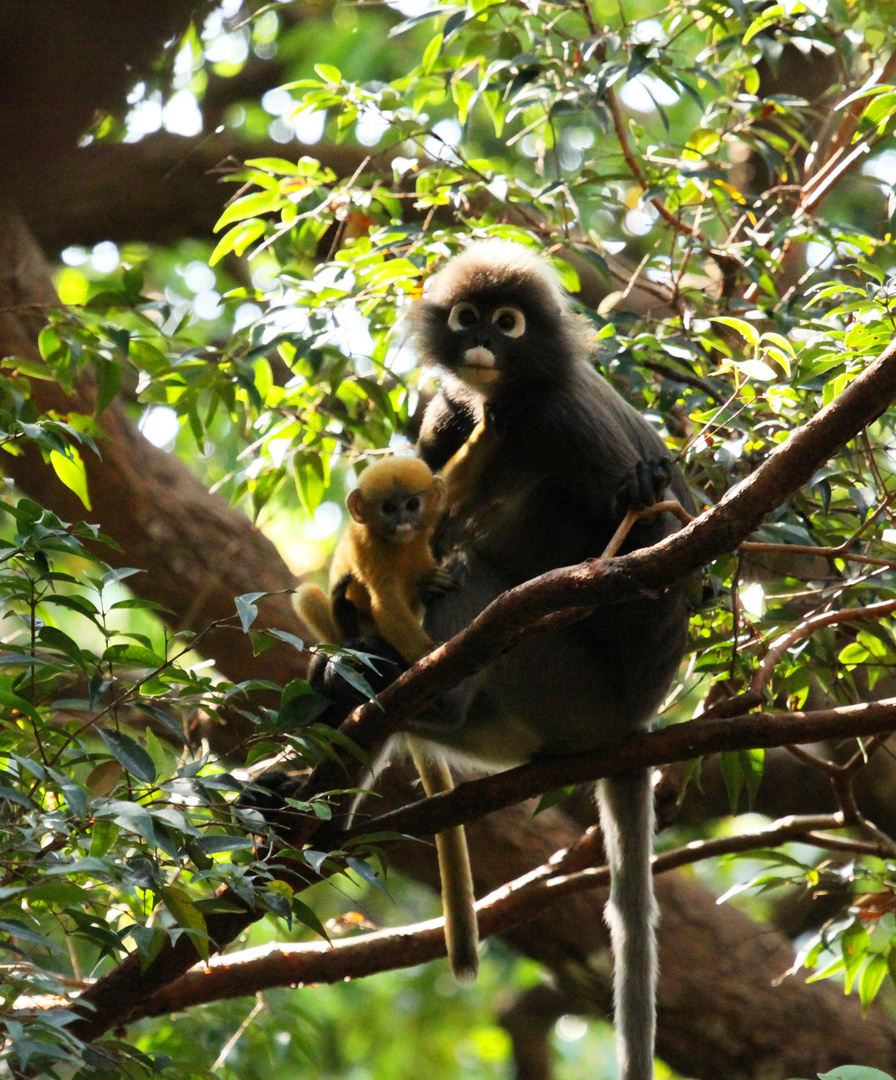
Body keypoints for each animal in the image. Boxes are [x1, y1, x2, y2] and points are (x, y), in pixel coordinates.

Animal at [293, 455, 481, 980]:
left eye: (412, 505)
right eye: (388, 508)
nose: (401, 521)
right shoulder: (369, 551)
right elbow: (386, 604)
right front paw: (430, 659)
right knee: (315, 595)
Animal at [405, 238, 695, 1080]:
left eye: (508, 323)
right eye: (468, 317)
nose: (480, 342)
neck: (504, 406)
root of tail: (632, 723)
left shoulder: (565, 417)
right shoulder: (455, 413)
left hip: (567, 684)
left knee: (476, 571)